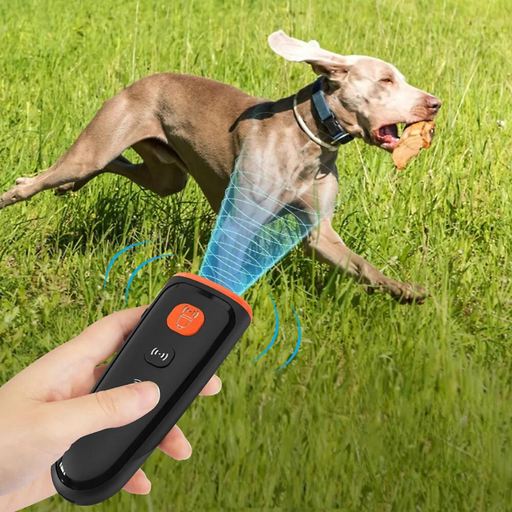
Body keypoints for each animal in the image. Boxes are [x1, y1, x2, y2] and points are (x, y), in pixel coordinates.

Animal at [0, 31, 440, 304]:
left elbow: (363, 266)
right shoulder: (240, 216)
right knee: (64, 170)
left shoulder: (318, 232)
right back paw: (17, 191)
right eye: (386, 80)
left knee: (118, 165)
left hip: (167, 176)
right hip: (99, 143)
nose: (435, 103)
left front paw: (406, 290)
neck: (310, 138)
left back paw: (67, 188)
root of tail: (140, 81)